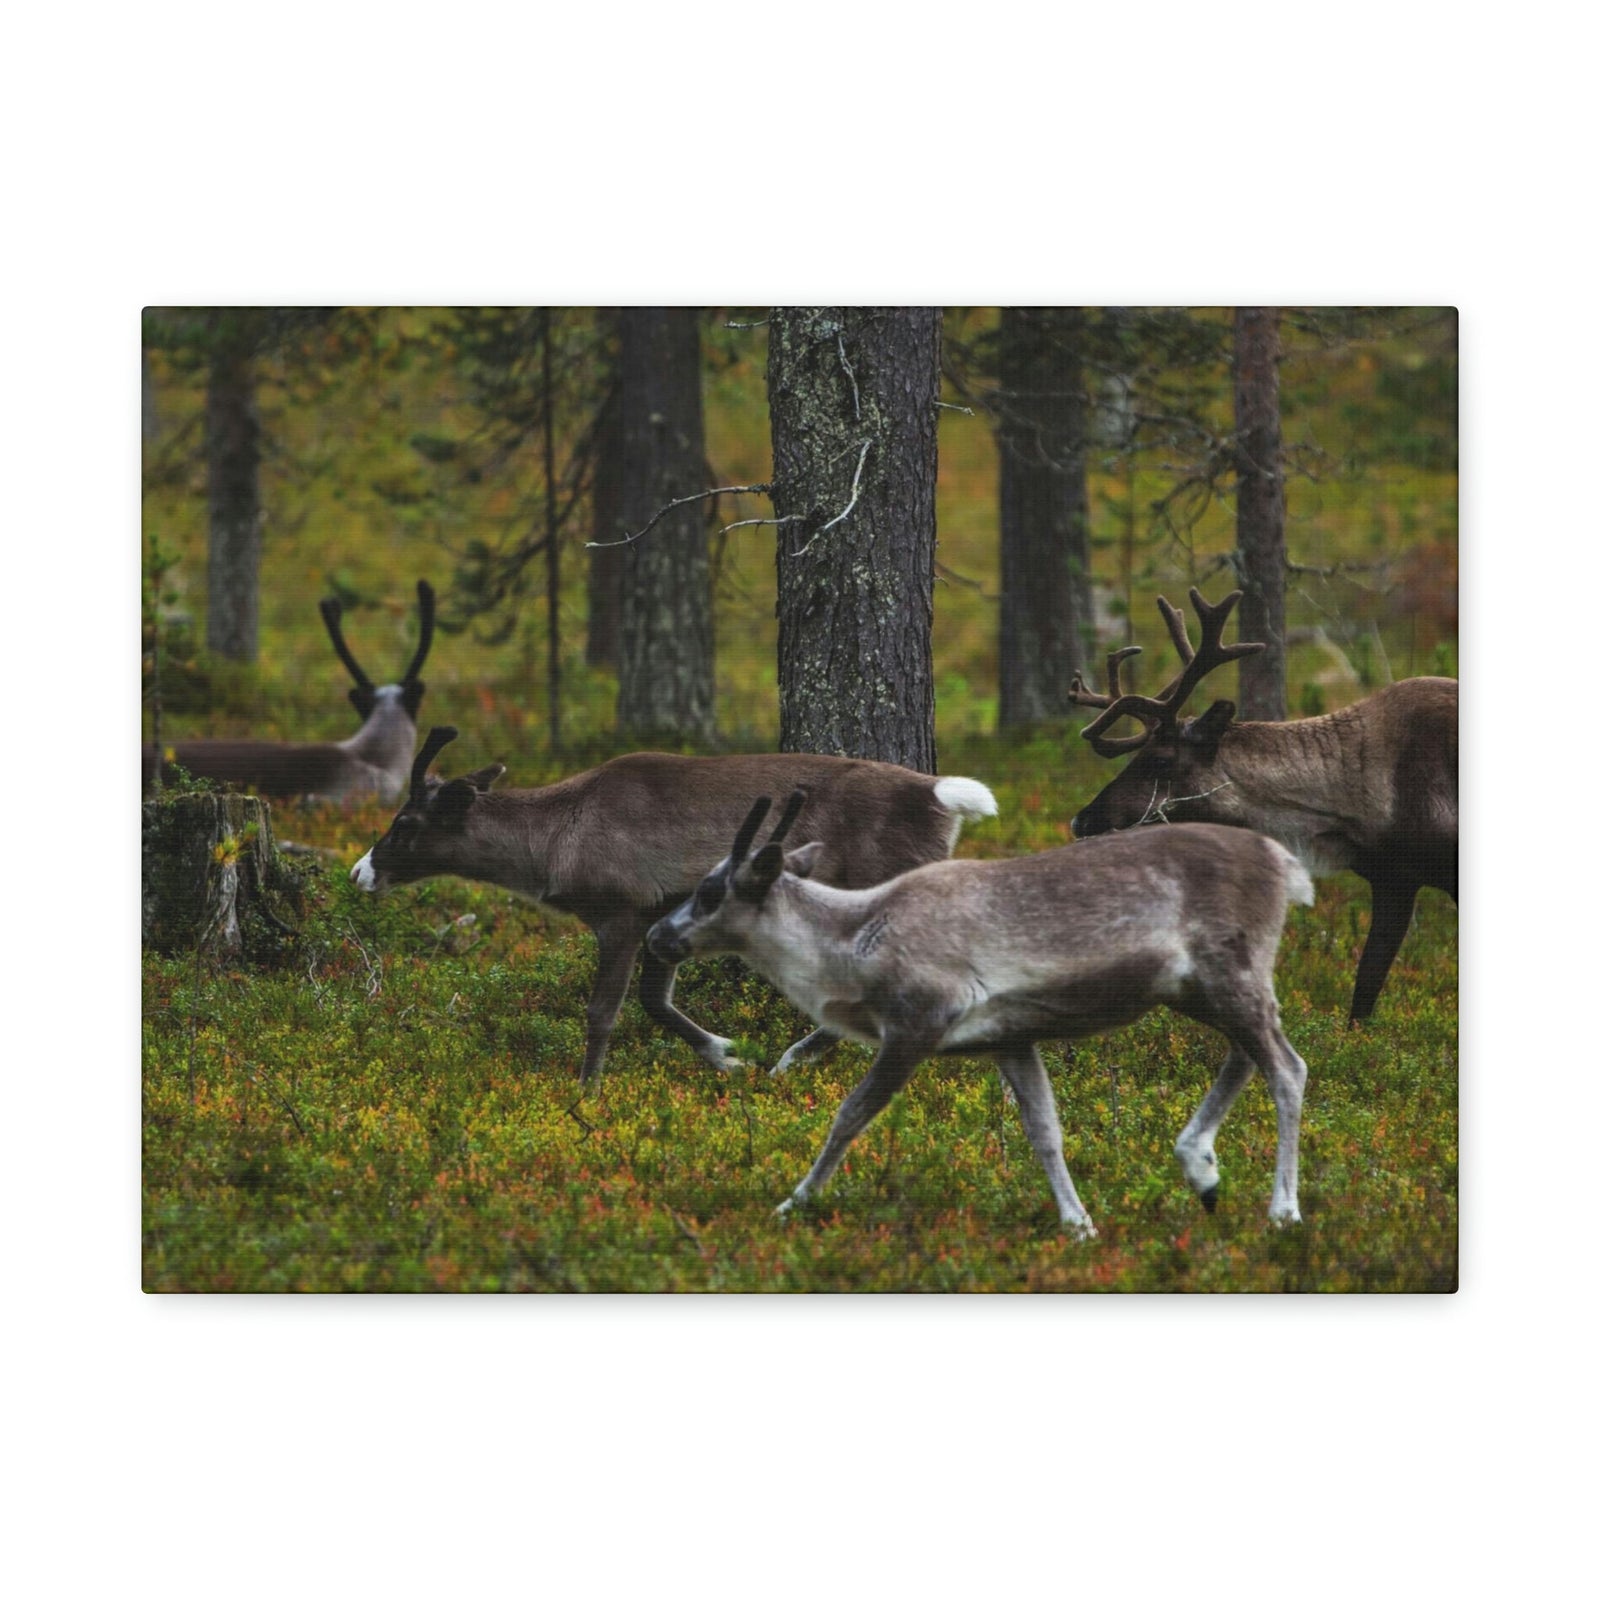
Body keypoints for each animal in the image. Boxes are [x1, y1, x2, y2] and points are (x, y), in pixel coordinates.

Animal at [349, 726, 1000, 1085]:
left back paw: (795, 1058)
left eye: (405, 823)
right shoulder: (661, 915)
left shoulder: (621, 911)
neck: (554, 842)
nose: (360, 871)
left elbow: (604, 1011)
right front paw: (726, 1057)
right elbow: (655, 1001)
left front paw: (585, 1092)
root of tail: (939, 795)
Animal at [646, 790, 1314, 1235]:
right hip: (1198, 988)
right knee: (1246, 1054)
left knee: (1287, 1067)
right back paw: (1201, 1169)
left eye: (708, 891)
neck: (852, 943)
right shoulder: (1010, 1039)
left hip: (1229, 972)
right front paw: (1078, 1223)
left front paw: (793, 1203)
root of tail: (1286, 863)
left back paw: (1283, 1210)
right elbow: (1045, 1131)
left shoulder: (915, 1024)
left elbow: (849, 1116)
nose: (656, 935)